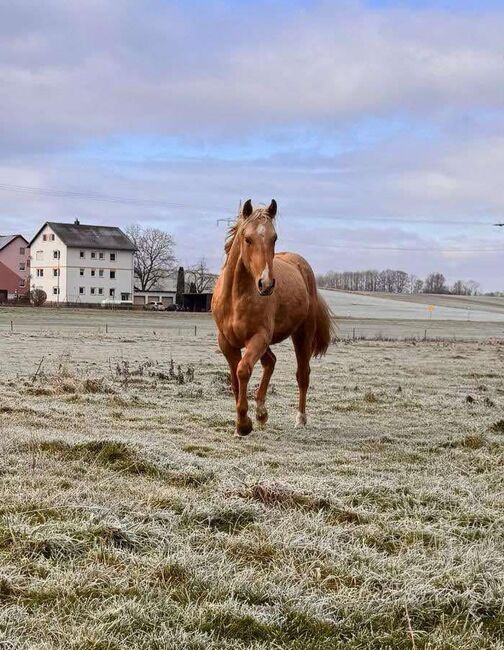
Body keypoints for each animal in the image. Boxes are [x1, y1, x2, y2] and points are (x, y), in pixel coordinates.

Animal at [211, 199, 332, 436]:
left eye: (274, 237)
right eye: (247, 239)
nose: (266, 284)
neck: (236, 297)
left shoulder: (258, 337)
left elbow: (243, 370)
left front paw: (243, 424)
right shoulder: (227, 343)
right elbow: (235, 380)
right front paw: (244, 422)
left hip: (302, 335)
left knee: (302, 374)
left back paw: (300, 419)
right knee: (271, 362)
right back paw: (261, 412)